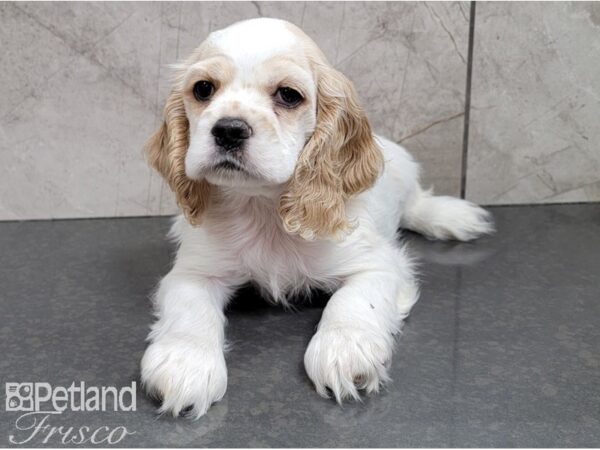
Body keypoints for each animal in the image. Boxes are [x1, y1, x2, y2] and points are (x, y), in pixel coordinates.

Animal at [139, 16, 492, 418]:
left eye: (289, 95)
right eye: (203, 89)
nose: (228, 129)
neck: (263, 207)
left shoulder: (377, 265)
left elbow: (352, 301)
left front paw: (345, 350)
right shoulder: (193, 272)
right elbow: (190, 310)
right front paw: (185, 363)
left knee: (418, 203)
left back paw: (452, 216)